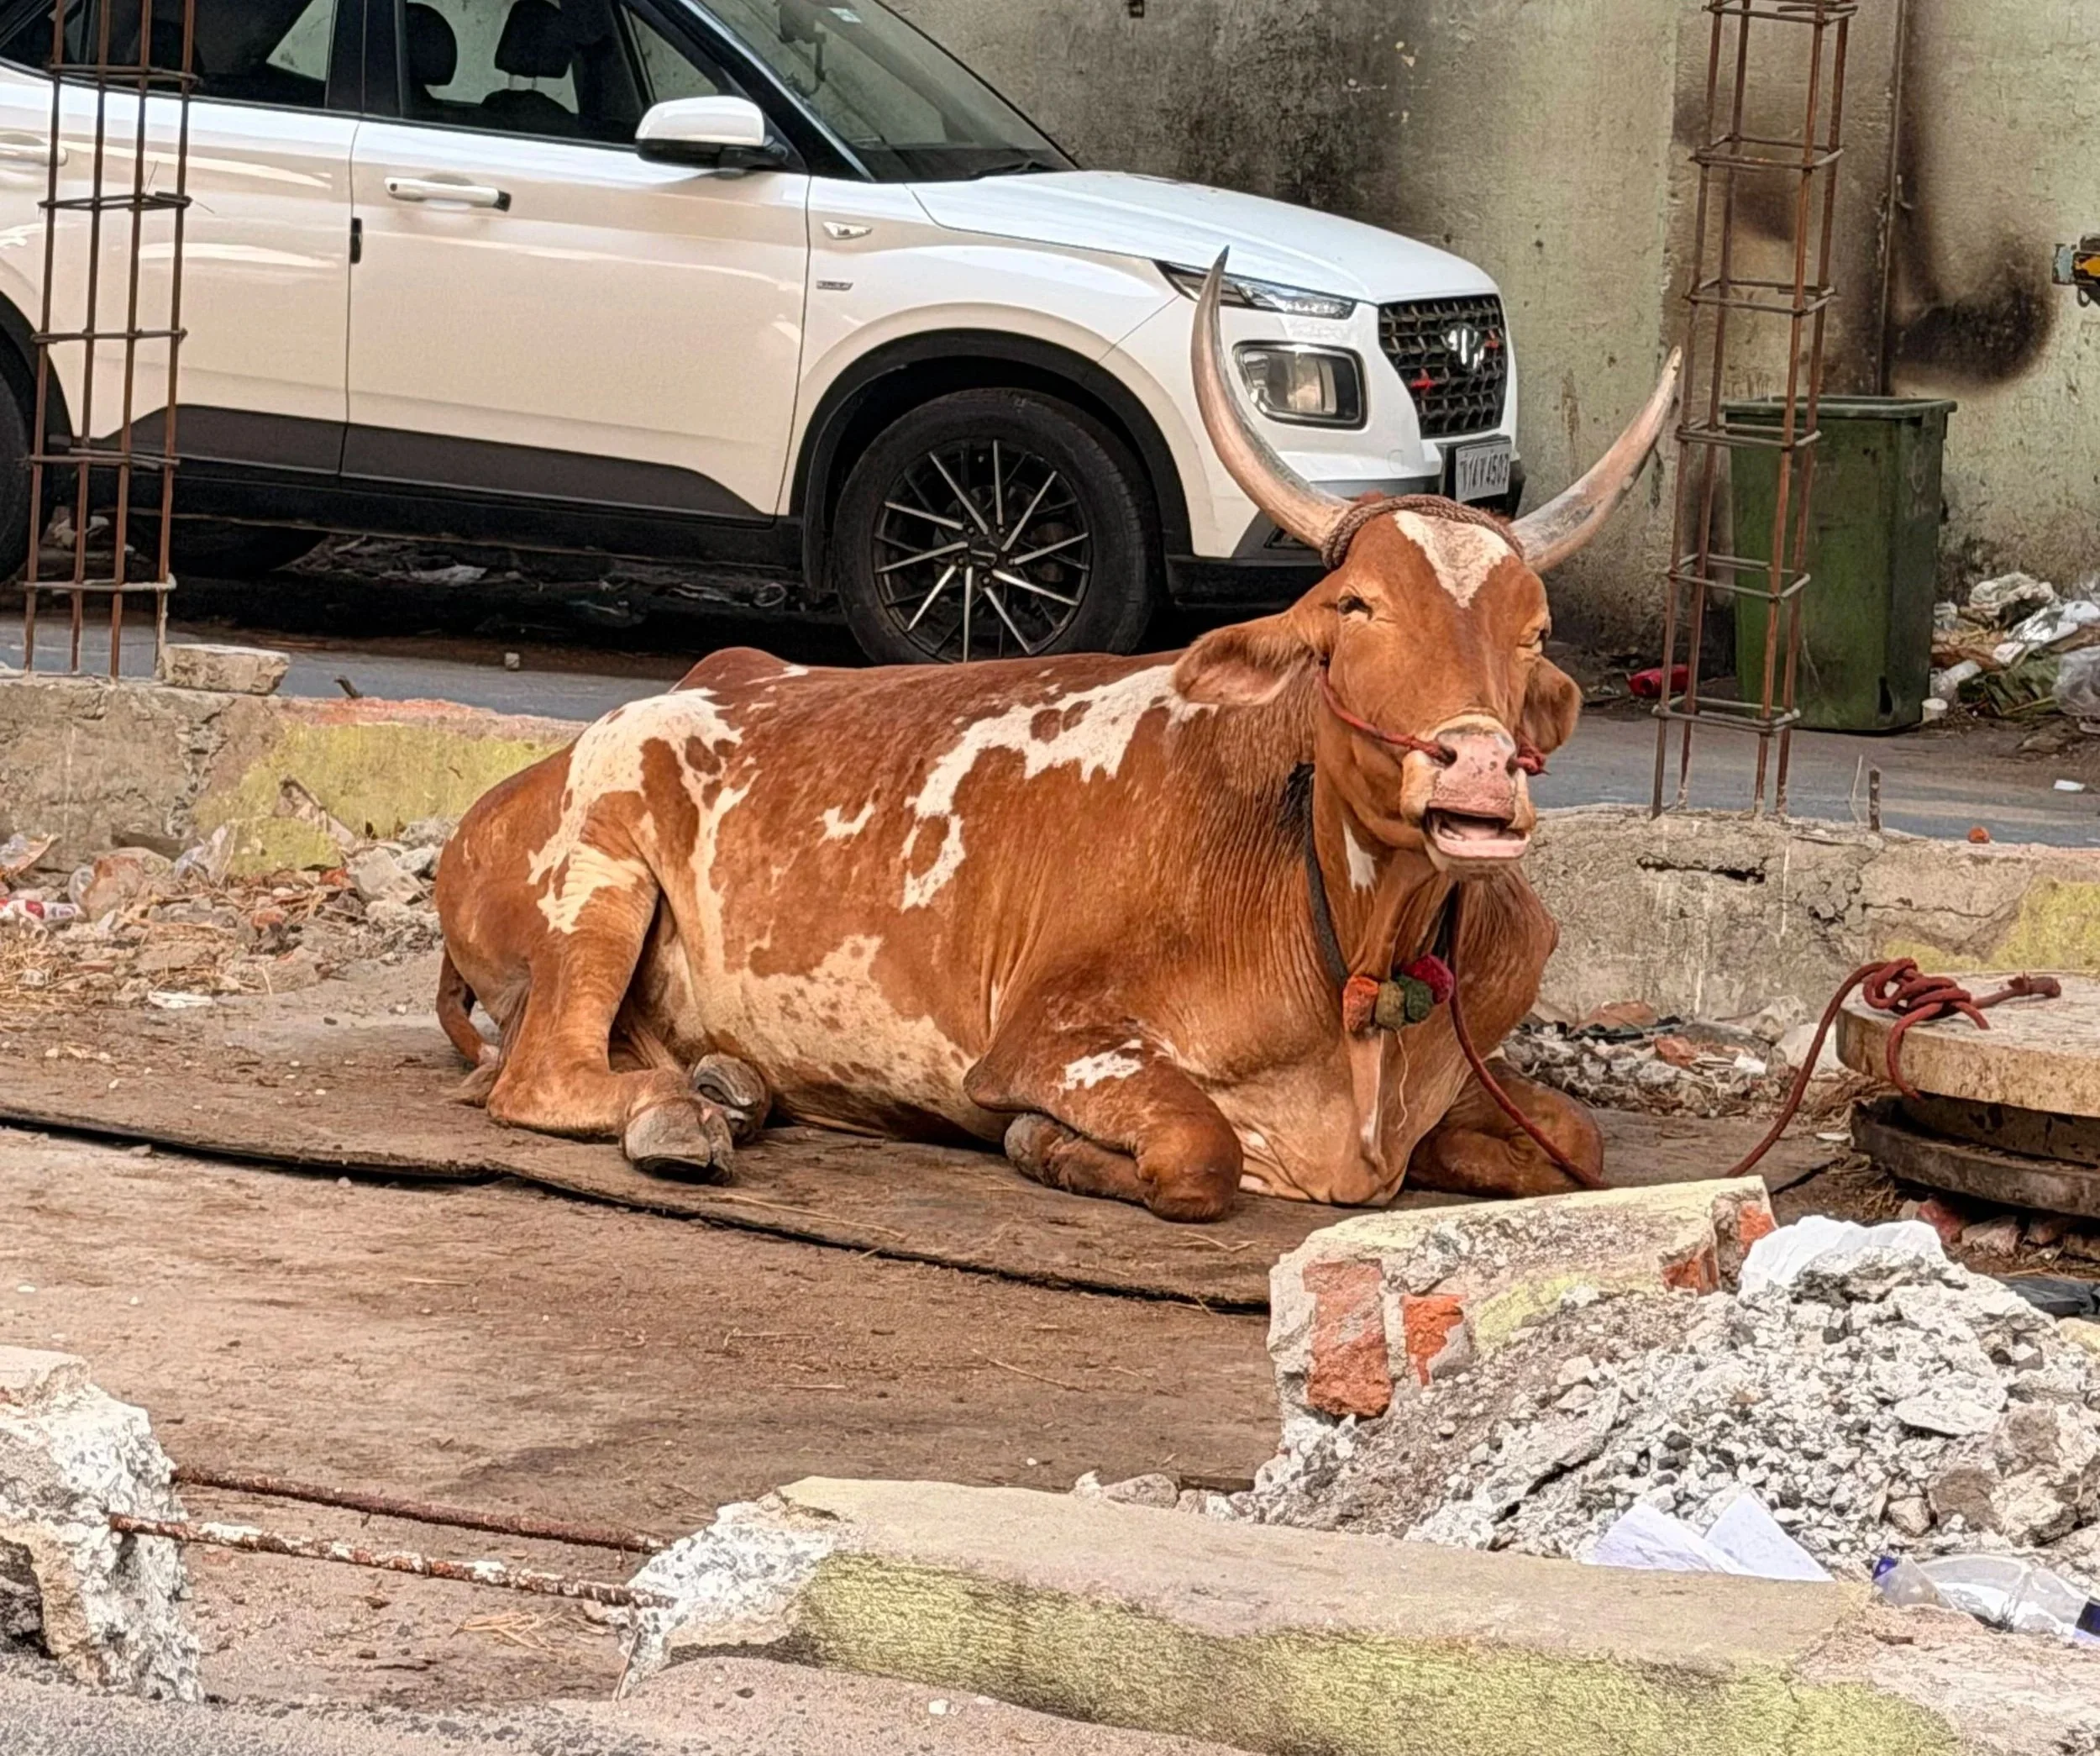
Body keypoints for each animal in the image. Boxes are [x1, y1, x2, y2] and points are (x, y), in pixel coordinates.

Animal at [434, 260, 1679, 1220]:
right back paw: (679, 1116)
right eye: (1355, 606)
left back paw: (730, 1085)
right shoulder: (1048, 1041)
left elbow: (1577, 1143)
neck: (1349, 952)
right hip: (596, 884)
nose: (1478, 770)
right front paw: (1044, 1145)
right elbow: (1198, 1152)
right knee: (541, 1074)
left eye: (1534, 628)